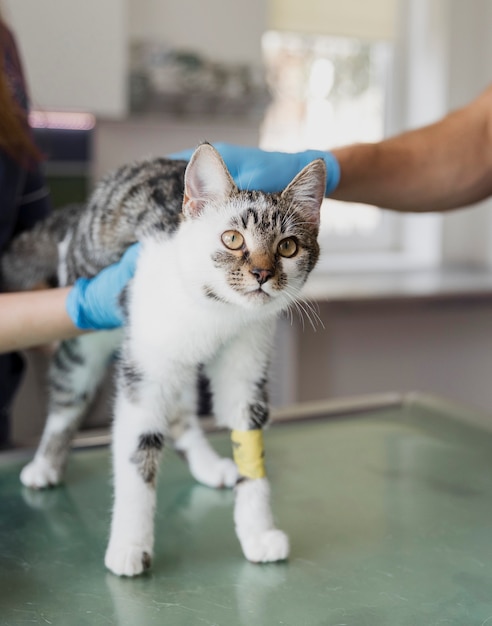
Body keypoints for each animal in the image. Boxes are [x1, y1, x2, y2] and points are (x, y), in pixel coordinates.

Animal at [3, 143, 326, 576]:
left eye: (288, 247)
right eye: (232, 238)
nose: (261, 274)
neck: (218, 312)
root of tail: (80, 214)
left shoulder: (247, 366)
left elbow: (249, 448)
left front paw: (257, 531)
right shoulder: (144, 375)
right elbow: (136, 459)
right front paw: (130, 544)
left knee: (180, 412)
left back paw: (208, 465)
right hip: (88, 334)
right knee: (68, 398)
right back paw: (45, 463)